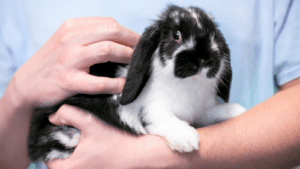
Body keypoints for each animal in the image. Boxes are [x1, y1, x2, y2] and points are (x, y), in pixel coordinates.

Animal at [27, 4, 246, 162]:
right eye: (176, 35)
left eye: (214, 36)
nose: (203, 59)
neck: (188, 84)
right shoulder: (149, 110)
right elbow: (162, 119)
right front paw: (185, 138)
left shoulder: (200, 111)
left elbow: (211, 112)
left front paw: (236, 110)